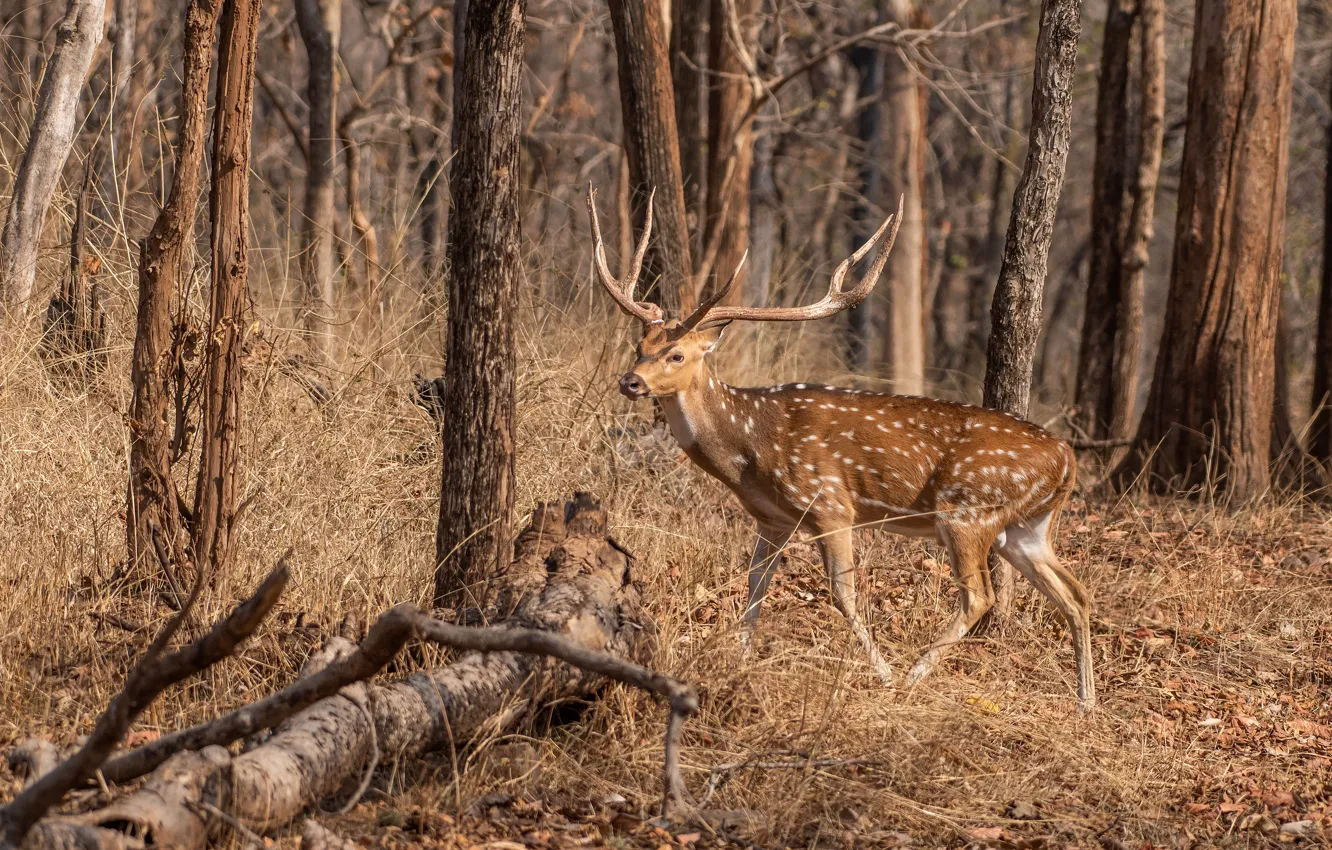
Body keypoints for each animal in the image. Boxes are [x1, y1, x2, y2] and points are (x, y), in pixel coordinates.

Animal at [587, 187, 1094, 708]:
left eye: (677, 354)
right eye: (640, 346)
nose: (630, 381)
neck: (749, 450)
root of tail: (1068, 459)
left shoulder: (831, 504)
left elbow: (842, 594)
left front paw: (882, 674)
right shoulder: (771, 518)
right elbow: (756, 586)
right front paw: (738, 660)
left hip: (968, 511)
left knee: (980, 596)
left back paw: (911, 677)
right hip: (1025, 527)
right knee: (1076, 593)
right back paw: (1085, 701)